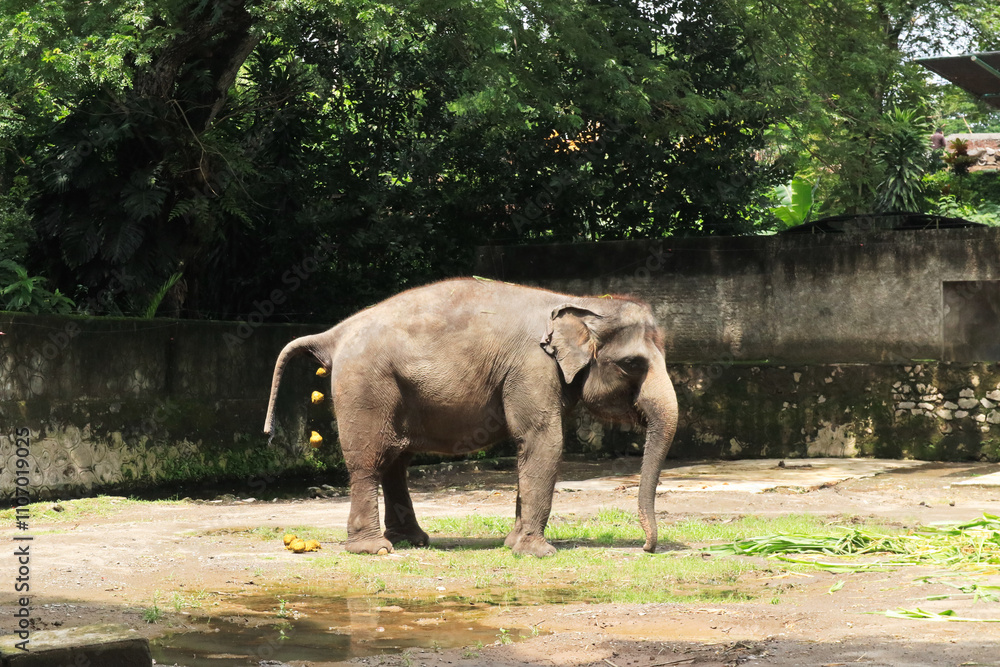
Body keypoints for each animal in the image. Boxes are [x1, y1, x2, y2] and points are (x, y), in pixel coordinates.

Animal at [263, 278, 678, 557]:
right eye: (632, 364)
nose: (646, 548)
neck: (581, 303)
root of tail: (335, 333)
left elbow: (531, 447)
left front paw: (513, 544)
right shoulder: (532, 366)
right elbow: (543, 440)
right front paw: (537, 553)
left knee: (396, 461)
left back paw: (413, 541)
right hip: (364, 383)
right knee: (369, 459)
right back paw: (375, 550)